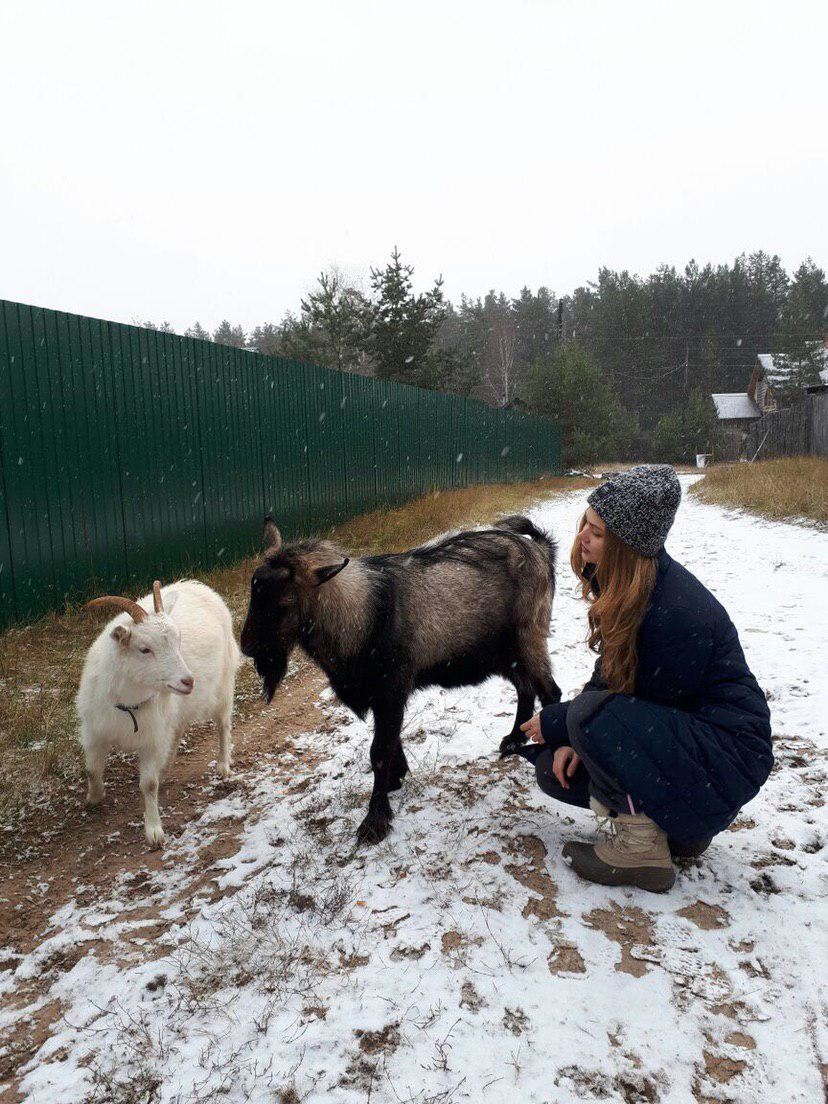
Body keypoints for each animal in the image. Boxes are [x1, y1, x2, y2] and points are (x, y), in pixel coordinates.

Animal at [77, 578, 241, 843]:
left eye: (178, 641)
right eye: (144, 649)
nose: (188, 681)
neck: (129, 704)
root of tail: (200, 586)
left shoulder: (152, 740)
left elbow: (149, 784)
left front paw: (154, 832)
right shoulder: (95, 731)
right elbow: (91, 770)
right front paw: (94, 797)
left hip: (224, 684)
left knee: (223, 725)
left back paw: (223, 765)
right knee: (179, 729)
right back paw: (167, 765)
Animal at [241, 512, 565, 839]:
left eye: (285, 603)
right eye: (253, 591)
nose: (246, 647)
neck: (363, 614)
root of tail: (540, 549)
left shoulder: (392, 687)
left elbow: (379, 750)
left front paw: (375, 819)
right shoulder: (379, 693)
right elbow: (390, 741)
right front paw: (396, 779)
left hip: (527, 638)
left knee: (550, 691)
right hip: (506, 655)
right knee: (526, 689)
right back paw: (513, 740)